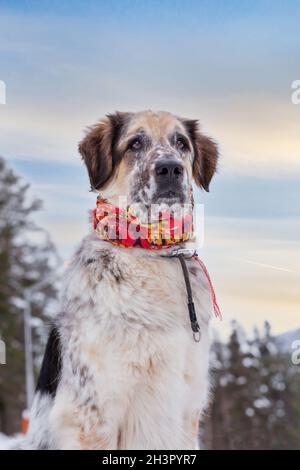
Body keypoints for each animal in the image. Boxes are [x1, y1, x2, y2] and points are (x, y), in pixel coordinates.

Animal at [25, 111, 218, 452]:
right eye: (135, 143)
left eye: (181, 142)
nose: (170, 168)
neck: (150, 253)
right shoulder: (93, 411)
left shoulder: (186, 406)